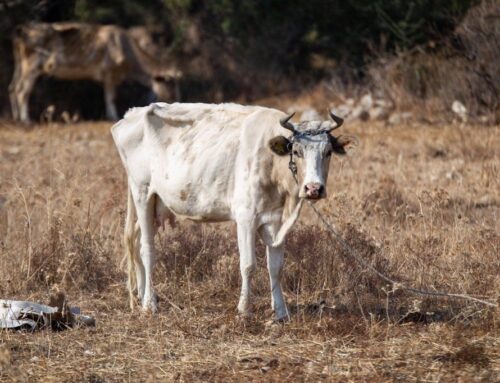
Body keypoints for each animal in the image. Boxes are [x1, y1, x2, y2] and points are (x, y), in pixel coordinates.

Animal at [8, 22, 182, 121]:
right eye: (170, 82)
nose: (176, 99)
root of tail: (21, 29)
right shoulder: (110, 72)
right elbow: (111, 97)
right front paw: (113, 116)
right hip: (32, 66)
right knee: (22, 90)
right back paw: (25, 119)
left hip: (19, 64)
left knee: (13, 87)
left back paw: (16, 118)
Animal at [112, 103, 356, 320]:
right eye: (296, 151)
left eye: (328, 152)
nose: (313, 188)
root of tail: (133, 113)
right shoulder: (246, 218)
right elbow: (248, 265)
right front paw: (244, 310)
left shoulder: (276, 222)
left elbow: (275, 268)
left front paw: (281, 312)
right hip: (142, 193)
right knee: (147, 249)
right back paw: (149, 304)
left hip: (156, 204)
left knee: (136, 242)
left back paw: (141, 293)